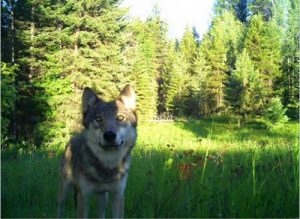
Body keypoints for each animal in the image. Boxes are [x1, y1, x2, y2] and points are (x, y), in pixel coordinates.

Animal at [56, 84, 138, 218]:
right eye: (98, 119)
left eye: (120, 118)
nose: (109, 135)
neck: (107, 166)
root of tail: (75, 137)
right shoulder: (83, 197)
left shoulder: (118, 196)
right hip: (64, 190)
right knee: (59, 209)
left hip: (103, 197)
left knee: (101, 212)